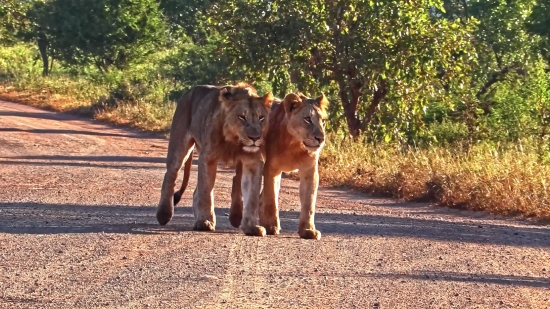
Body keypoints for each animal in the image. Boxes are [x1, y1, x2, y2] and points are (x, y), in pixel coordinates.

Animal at [157, 83, 274, 235]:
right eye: (242, 117)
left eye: (261, 117)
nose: (255, 138)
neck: (234, 141)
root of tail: (190, 91)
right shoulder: (208, 157)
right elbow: (206, 192)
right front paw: (205, 222)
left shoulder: (253, 162)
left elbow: (252, 197)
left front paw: (252, 227)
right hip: (179, 146)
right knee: (170, 176)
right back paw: (163, 214)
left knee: (194, 191)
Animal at [227, 91, 328, 238]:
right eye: (307, 119)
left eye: (323, 121)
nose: (321, 139)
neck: (295, 145)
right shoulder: (271, 169)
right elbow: (271, 199)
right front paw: (271, 226)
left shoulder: (310, 172)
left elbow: (309, 203)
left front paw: (308, 230)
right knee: (237, 179)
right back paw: (236, 217)